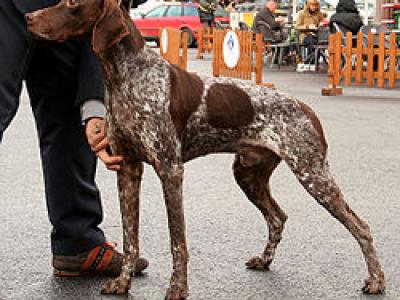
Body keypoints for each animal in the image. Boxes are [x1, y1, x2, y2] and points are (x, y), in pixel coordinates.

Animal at [26, 1, 386, 298]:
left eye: (72, 2)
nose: (29, 18)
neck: (123, 77)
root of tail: (304, 106)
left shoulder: (170, 169)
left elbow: (177, 241)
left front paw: (177, 288)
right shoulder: (127, 169)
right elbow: (130, 237)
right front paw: (123, 282)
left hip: (312, 172)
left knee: (361, 227)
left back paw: (376, 280)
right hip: (248, 173)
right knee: (278, 217)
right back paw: (265, 259)